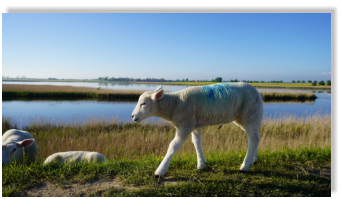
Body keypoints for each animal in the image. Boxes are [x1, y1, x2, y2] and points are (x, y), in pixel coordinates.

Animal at [132, 82, 264, 177]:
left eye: (143, 104)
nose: (133, 116)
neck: (175, 104)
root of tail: (258, 93)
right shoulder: (195, 125)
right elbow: (196, 143)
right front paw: (201, 163)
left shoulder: (186, 123)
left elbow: (173, 146)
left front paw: (160, 170)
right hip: (246, 117)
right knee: (256, 136)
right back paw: (253, 159)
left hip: (250, 114)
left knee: (253, 138)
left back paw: (245, 166)